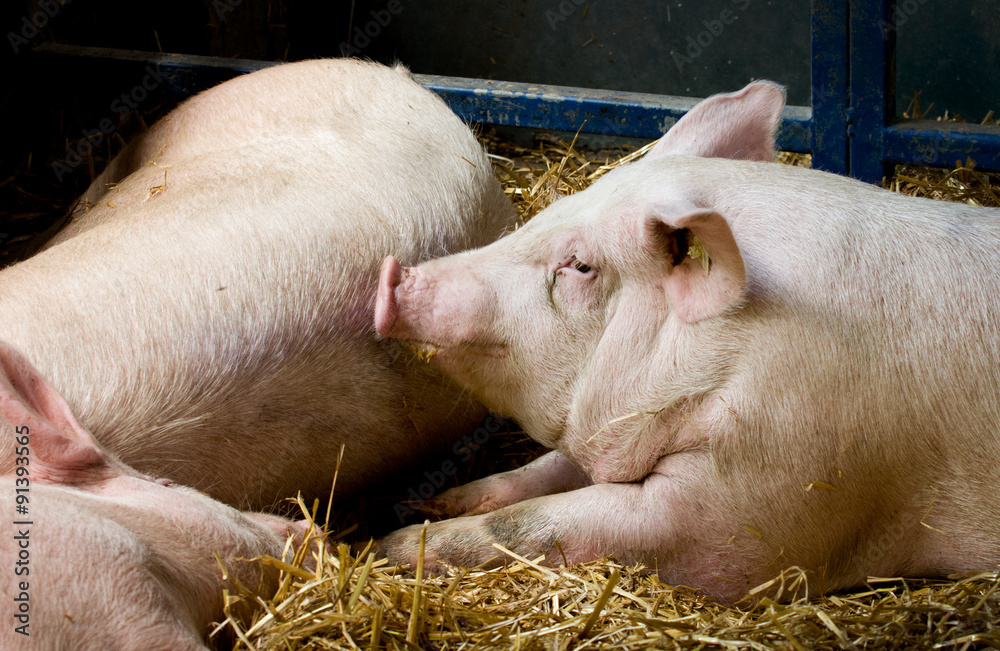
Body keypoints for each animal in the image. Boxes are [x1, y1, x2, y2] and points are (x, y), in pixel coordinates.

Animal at [374, 81, 1000, 601]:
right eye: (546, 214)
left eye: (580, 266)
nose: (393, 275)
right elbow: (544, 471)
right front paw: (425, 506)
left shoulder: (758, 500)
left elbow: (535, 521)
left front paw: (392, 545)